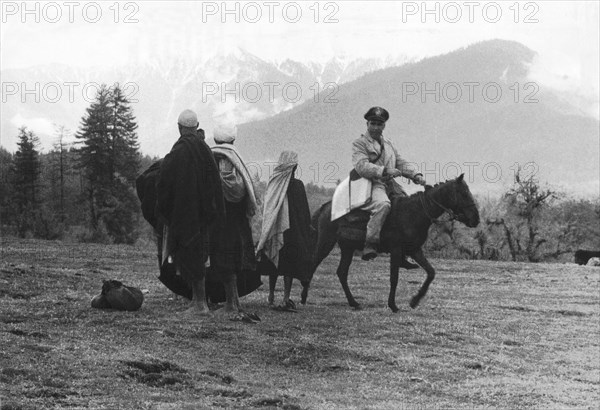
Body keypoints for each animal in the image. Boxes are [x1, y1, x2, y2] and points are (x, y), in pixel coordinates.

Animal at [308, 175, 480, 312]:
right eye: (464, 193)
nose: (476, 219)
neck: (415, 213)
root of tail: (325, 207)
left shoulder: (415, 250)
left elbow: (431, 272)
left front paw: (414, 300)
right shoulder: (396, 250)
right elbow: (394, 278)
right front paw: (393, 305)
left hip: (347, 248)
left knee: (342, 272)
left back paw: (354, 303)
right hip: (326, 242)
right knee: (314, 263)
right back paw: (303, 297)